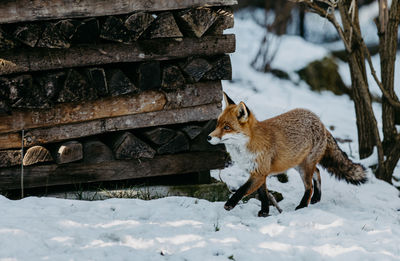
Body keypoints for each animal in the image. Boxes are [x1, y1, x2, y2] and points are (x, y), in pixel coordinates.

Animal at [208, 92, 368, 216]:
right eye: (217, 124)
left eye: (227, 127)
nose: (208, 137)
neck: (249, 144)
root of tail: (320, 122)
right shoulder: (260, 173)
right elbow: (263, 195)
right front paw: (264, 212)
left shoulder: (259, 173)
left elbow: (243, 190)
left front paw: (230, 204)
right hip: (298, 163)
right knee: (317, 173)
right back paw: (317, 198)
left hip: (304, 168)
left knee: (309, 186)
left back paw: (302, 206)